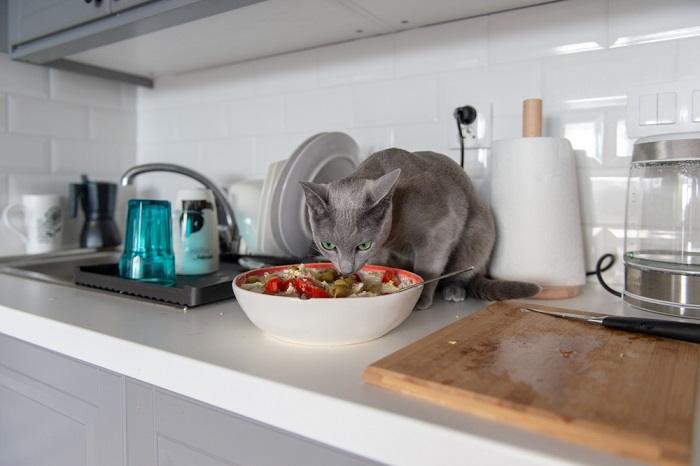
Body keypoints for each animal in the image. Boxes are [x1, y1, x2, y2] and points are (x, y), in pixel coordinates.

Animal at [298, 148, 540, 310]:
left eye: (363, 245)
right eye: (327, 245)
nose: (346, 269)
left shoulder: (440, 230)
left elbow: (427, 268)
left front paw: (419, 299)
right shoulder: (381, 251)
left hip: (478, 234)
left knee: (464, 271)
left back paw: (454, 290)